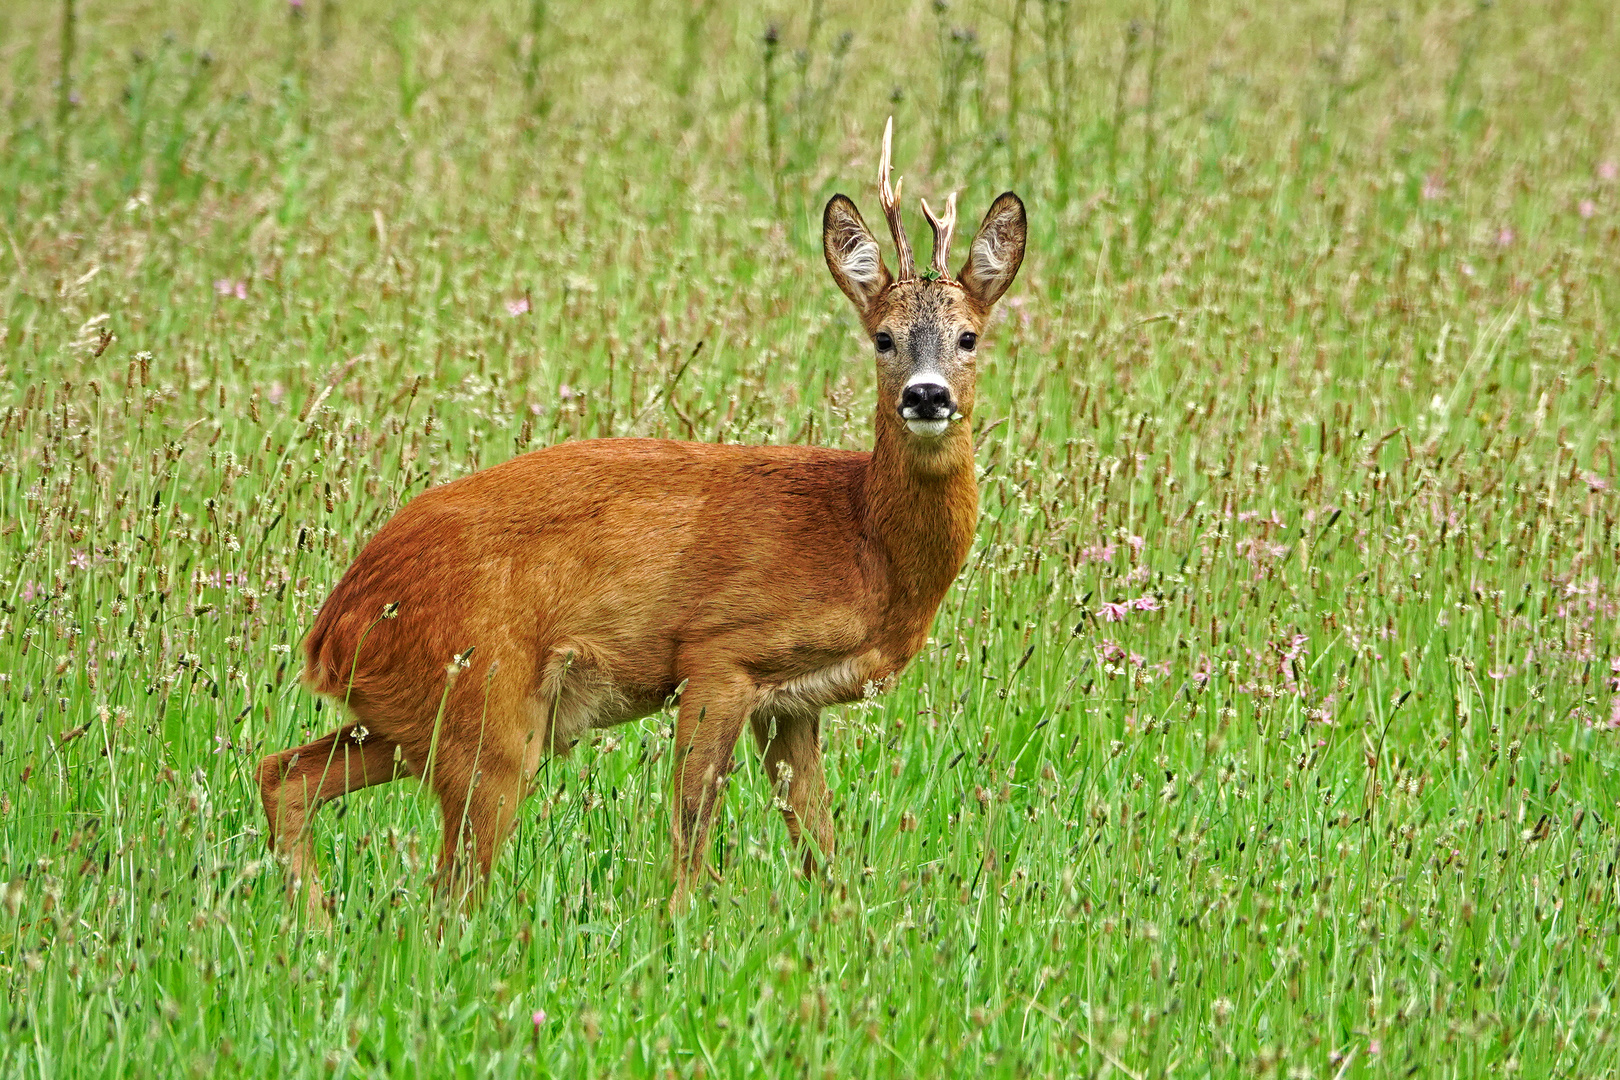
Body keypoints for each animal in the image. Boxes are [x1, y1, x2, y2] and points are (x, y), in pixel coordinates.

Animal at [259, 116, 1030, 913]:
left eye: (969, 336)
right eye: (883, 337)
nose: (927, 395)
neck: (865, 540)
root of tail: (331, 626)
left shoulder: (791, 702)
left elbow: (822, 849)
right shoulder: (721, 651)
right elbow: (689, 839)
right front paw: (683, 930)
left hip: (417, 712)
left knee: (284, 774)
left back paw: (313, 921)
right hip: (485, 707)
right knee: (452, 888)